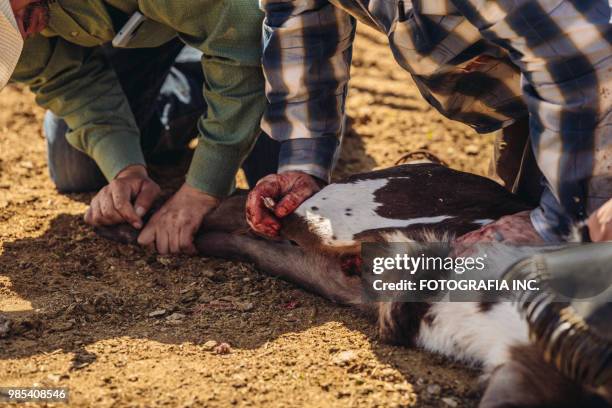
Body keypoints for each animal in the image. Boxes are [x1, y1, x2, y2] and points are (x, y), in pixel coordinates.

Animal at [95, 164, 612, 406]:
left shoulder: (527, 371)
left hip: (300, 262)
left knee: (233, 232)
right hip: (331, 217)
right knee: (241, 209)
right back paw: (126, 216)